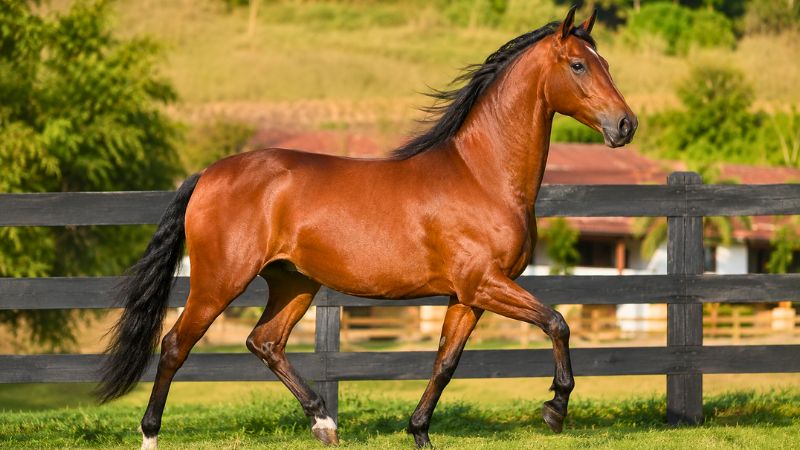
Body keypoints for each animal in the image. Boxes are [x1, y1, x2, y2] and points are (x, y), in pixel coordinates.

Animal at [96, 7, 636, 449]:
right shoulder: (485, 283)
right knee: (174, 346)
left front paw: (419, 432)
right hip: (218, 281)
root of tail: (208, 174)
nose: (625, 125)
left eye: (607, 63)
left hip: (294, 282)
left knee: (265, 342)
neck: (482, 174)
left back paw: (324, 424)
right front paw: (555, 409)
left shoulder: (467, 296)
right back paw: (150, 435)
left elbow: (445, 363)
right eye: (579, 65)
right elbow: (558, 322)